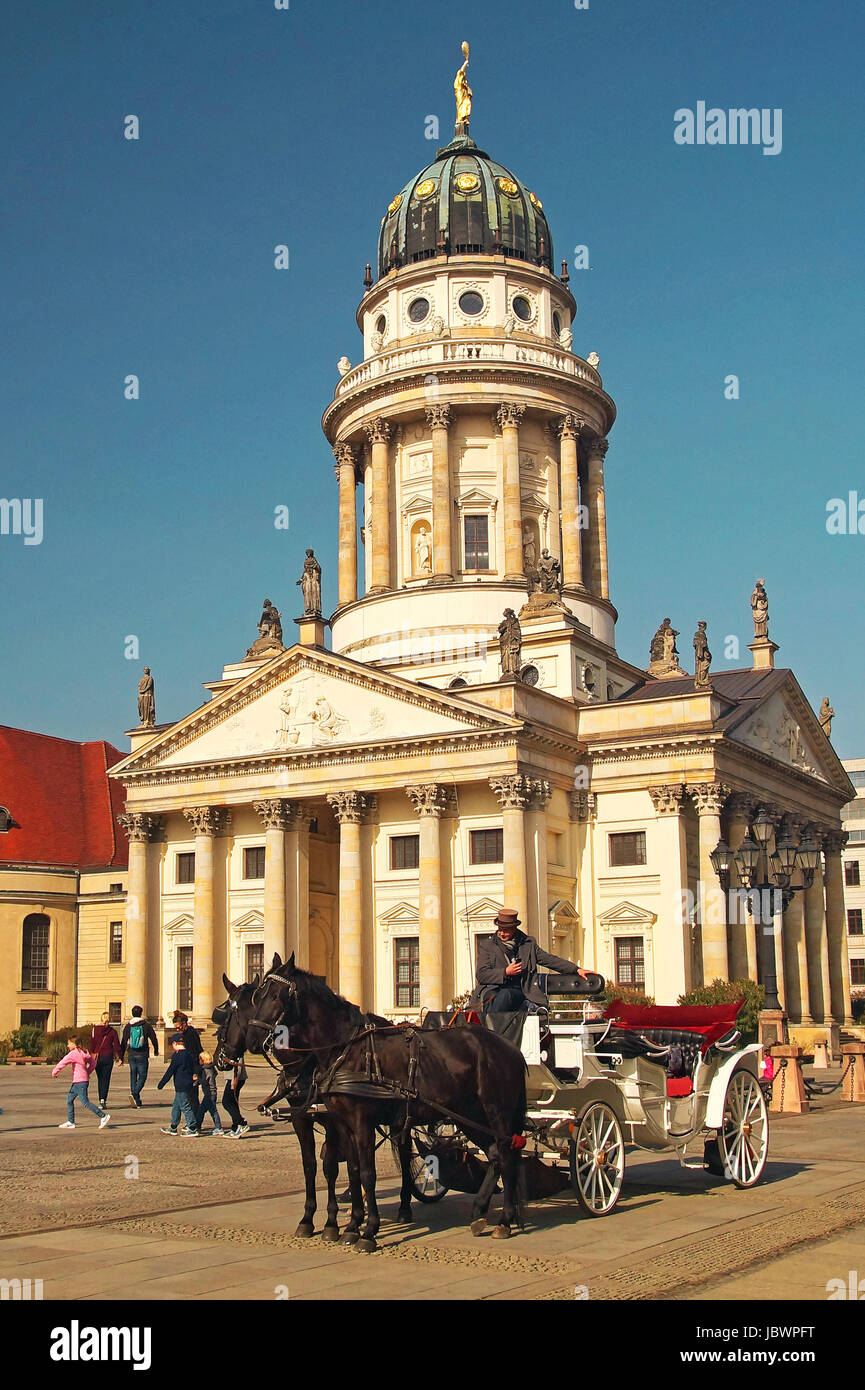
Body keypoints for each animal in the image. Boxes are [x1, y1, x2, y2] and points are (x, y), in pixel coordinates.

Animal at [247, 956, 525, 1251]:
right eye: (257, 994)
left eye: (276, 996)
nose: (253, 1040)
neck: (345, 1050)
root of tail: (511, 1048)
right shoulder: (340, 1122)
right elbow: (351, 1170)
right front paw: (350, 1227)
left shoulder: (361, 1122)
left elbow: (366, 1173)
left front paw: (367, 1231)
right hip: (469, 1115)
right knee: (495, 1154)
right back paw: (480, 1213)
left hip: (496, 1113)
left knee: (507, 1154)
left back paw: (504, 1221)